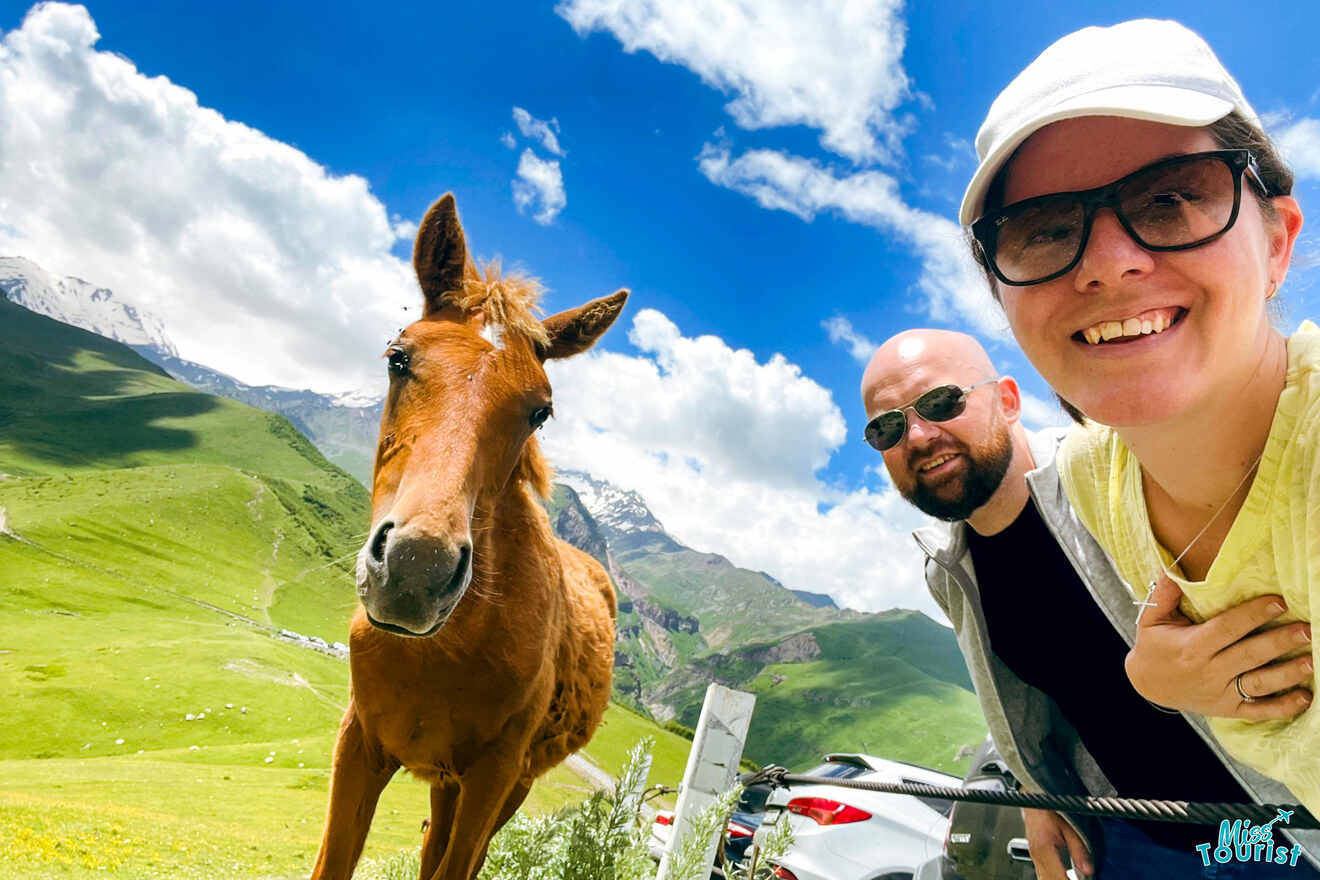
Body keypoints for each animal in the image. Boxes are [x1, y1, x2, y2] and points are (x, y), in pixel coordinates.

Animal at [309, 193, 625, 880]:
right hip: (443, 781)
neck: (447, 651)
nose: (415, 571)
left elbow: (458, 865)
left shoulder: (492, 778)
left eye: (540, 411)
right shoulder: (360, 745)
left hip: (509, 787)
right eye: (399, 357)